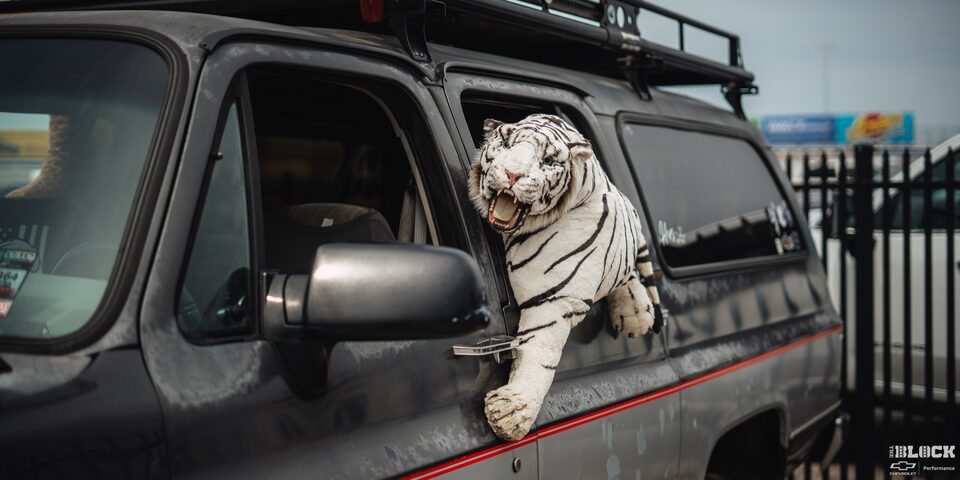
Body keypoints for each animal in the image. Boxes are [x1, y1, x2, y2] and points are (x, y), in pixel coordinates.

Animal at [468, 113, 664, 441]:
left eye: (547, 161)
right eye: (506, 145)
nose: (512, 175)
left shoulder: (554, 296)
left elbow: (539, 350)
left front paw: (511, 414)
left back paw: (636, 315)